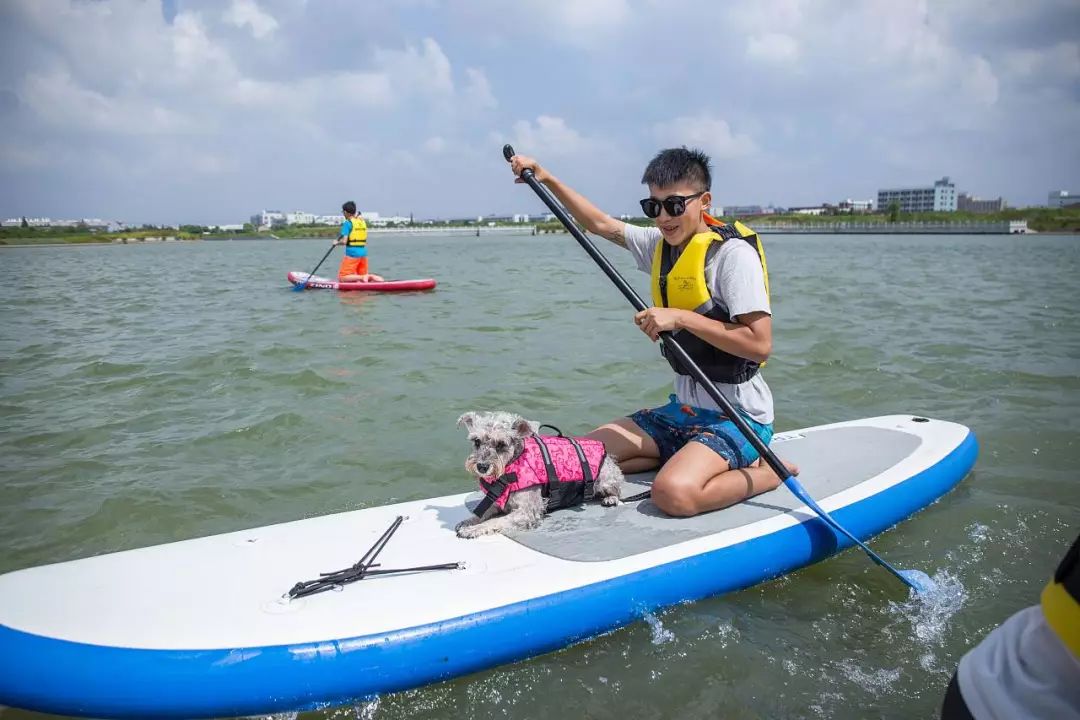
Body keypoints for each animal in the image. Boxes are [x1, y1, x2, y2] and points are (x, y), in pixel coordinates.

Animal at [455, 410, 626, 539]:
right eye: (476, 441)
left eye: (501, 444)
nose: (482, 466)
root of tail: (608, 456)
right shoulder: (497, 502)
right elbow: (481, 513)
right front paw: (468, 522)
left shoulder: (526, 512)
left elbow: (495, 521)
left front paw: (472, 530)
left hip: (605, 480)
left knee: (617, 491)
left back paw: (610, 498)